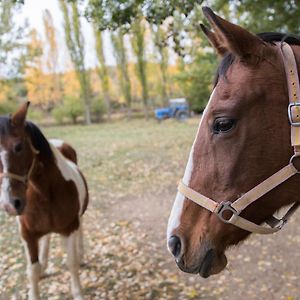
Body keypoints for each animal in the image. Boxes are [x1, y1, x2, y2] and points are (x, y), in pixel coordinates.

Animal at [0, 102, 88, 298]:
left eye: (18, 146)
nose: (10, 205)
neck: (44, 192)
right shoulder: (27, 235)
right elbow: (32, 271)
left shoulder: (70, 228)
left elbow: (72, 263)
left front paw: (78, 293)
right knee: (46, 238)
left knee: (81, 230)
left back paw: (81, 254)